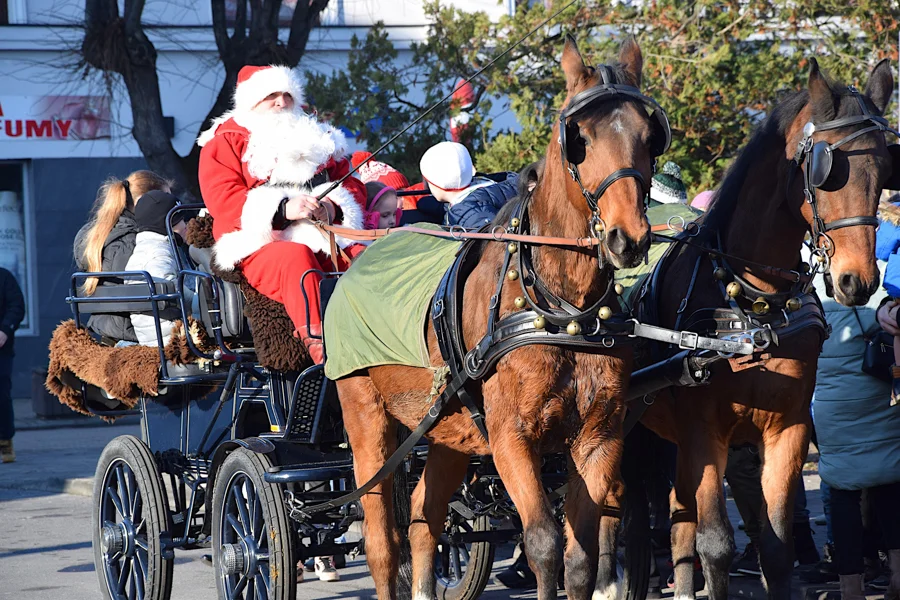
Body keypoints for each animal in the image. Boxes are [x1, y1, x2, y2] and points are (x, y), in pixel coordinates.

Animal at [334, 38, 664, 600]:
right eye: (580, 139)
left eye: (648, 134)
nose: (629, 237)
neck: (562, 312)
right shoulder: (512, 437)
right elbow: (543, 541)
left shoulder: (599, 437)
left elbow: (581, 557)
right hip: (366, 419)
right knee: (382, 541)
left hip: (447, 431)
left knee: (425, 518)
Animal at [624, 57, 896, 600]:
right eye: (826, 171)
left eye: (882, 168)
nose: (857, 280)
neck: (753, 305)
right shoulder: (705, 431)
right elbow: (716, 545)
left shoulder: (787, 428)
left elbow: (775, 544)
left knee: (677, 521)